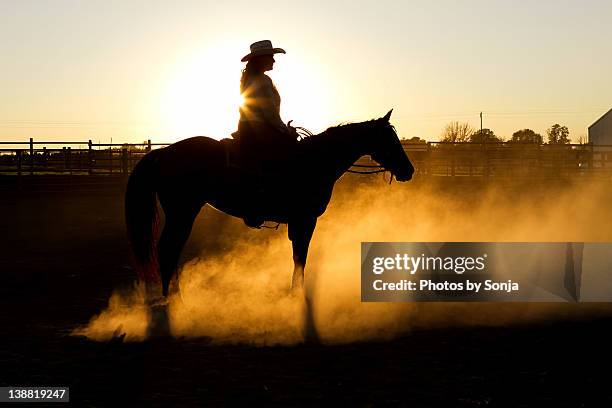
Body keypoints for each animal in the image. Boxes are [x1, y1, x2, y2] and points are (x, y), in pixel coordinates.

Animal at [123, 110, 412, 302]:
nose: (409, 170)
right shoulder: (305, 219)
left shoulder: (299, 222)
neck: (316, 160)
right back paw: (174, 299)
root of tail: (163, 153)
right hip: (182, 211)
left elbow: (298, 256)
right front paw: (297, 295)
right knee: (169, 248)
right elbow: (301, 257)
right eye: (390, 140)